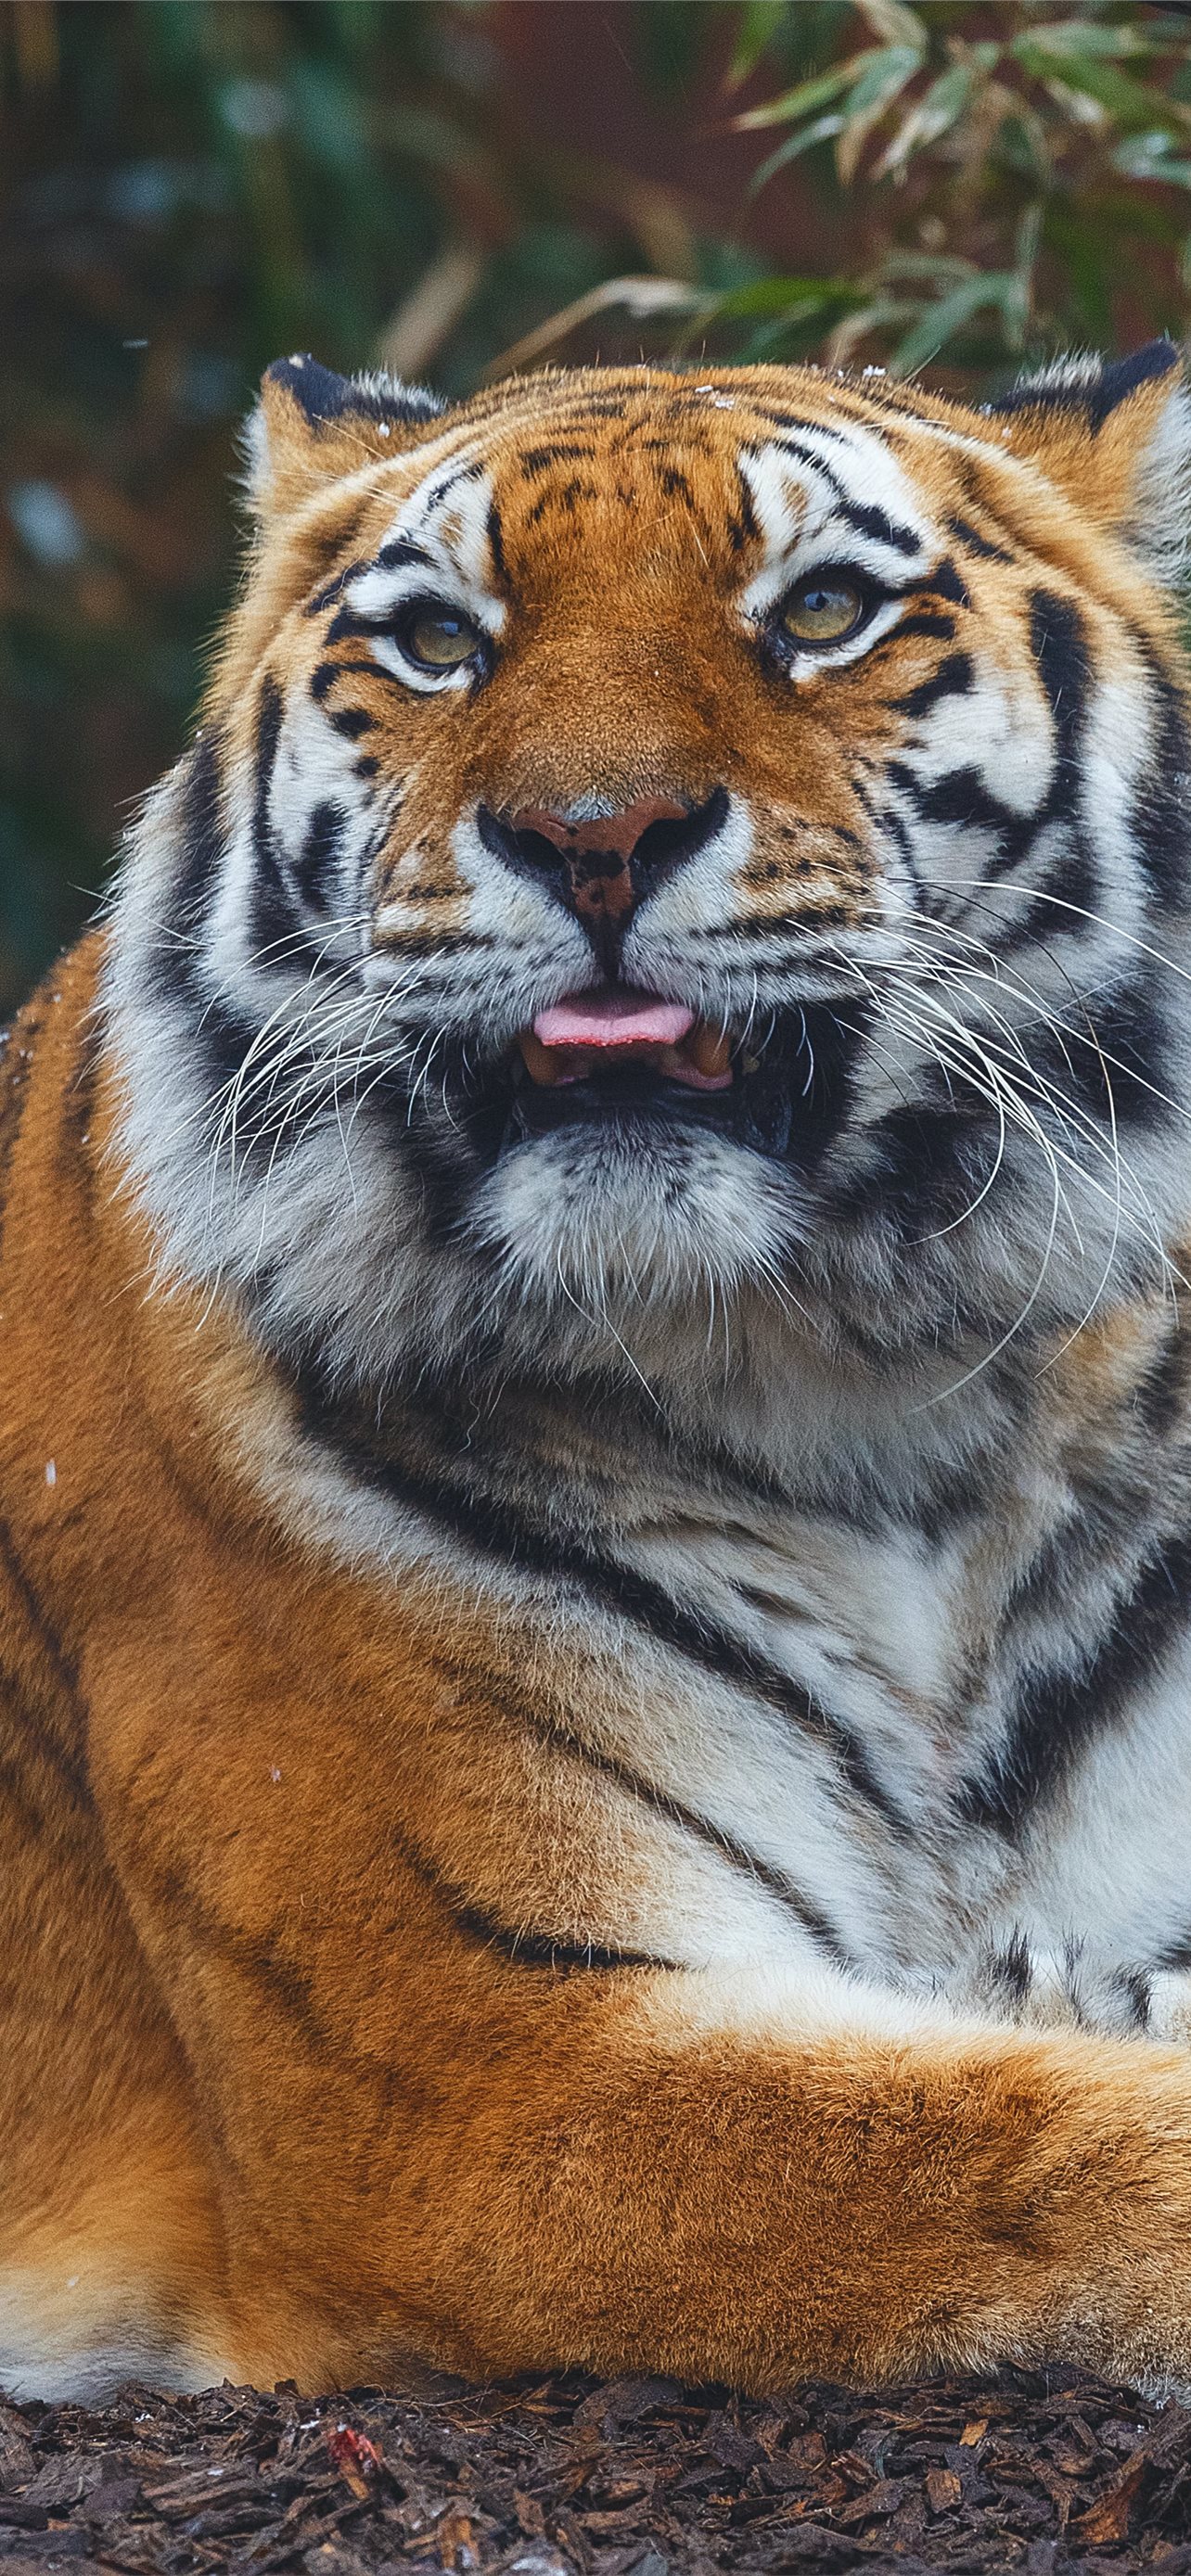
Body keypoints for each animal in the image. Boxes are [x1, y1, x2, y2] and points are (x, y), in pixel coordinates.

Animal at [11, 338, 1191, 2406]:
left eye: (819, 612)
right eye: (436, 642)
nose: (589, 835)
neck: (865, 1393)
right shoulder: (482, 2062)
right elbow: (1038, 2134)